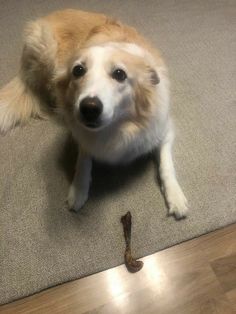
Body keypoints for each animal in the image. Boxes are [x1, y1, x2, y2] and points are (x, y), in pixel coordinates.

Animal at [0, 8, 188, 217]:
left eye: (120, 74)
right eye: (78, 70)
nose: (89, 108)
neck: (120, 127)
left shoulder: (163, 130)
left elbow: (166, 165)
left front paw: (175, 196)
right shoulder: (82, 135)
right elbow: (83, 160)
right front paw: (78, 189)